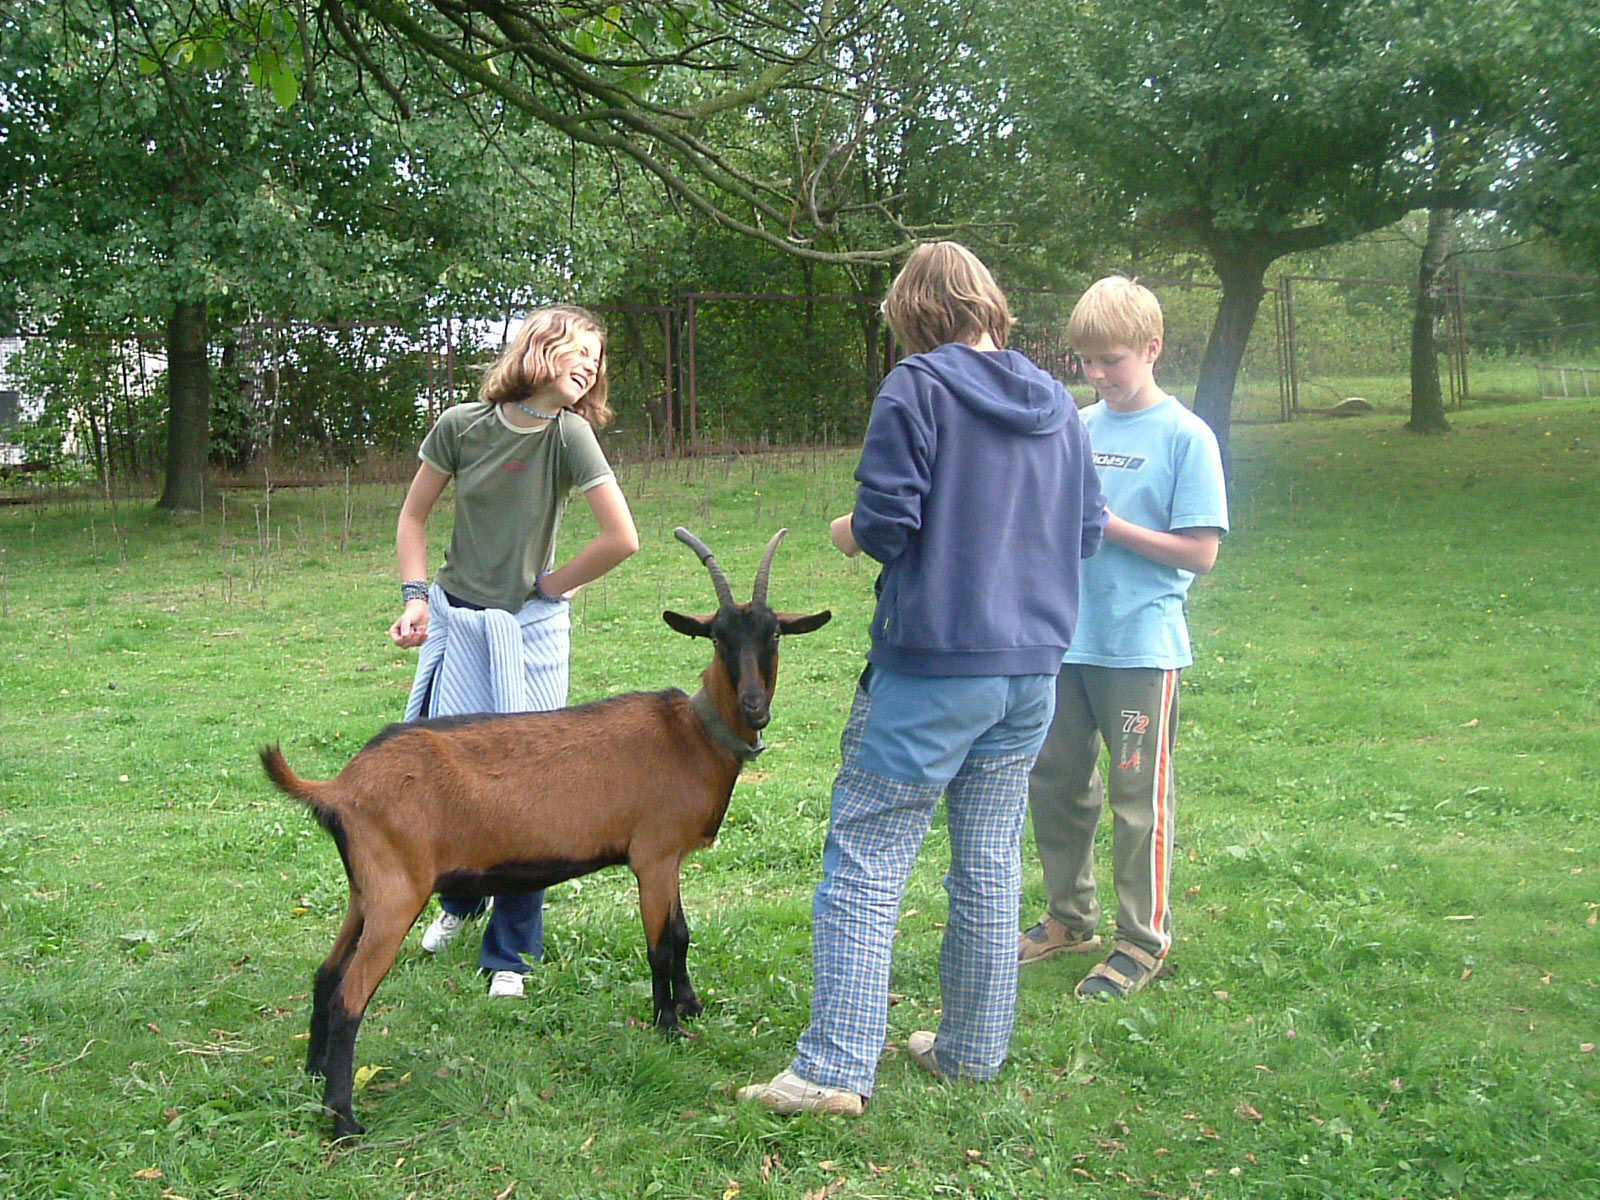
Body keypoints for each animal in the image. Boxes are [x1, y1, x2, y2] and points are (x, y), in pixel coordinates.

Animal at [256, 528, 832, 1139]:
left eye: (774, 634)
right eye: (718, 639)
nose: (755, 707)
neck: (693, 735)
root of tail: (338, 788)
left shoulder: (671, 859)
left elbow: (682, 933)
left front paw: (691, 1007)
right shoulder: (653, 855)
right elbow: (661, 943)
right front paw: (669, 1027)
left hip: (365, 892)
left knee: (325, 976)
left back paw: (314, 1079)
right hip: (396, 892)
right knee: (349, 996)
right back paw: (343, 1120)